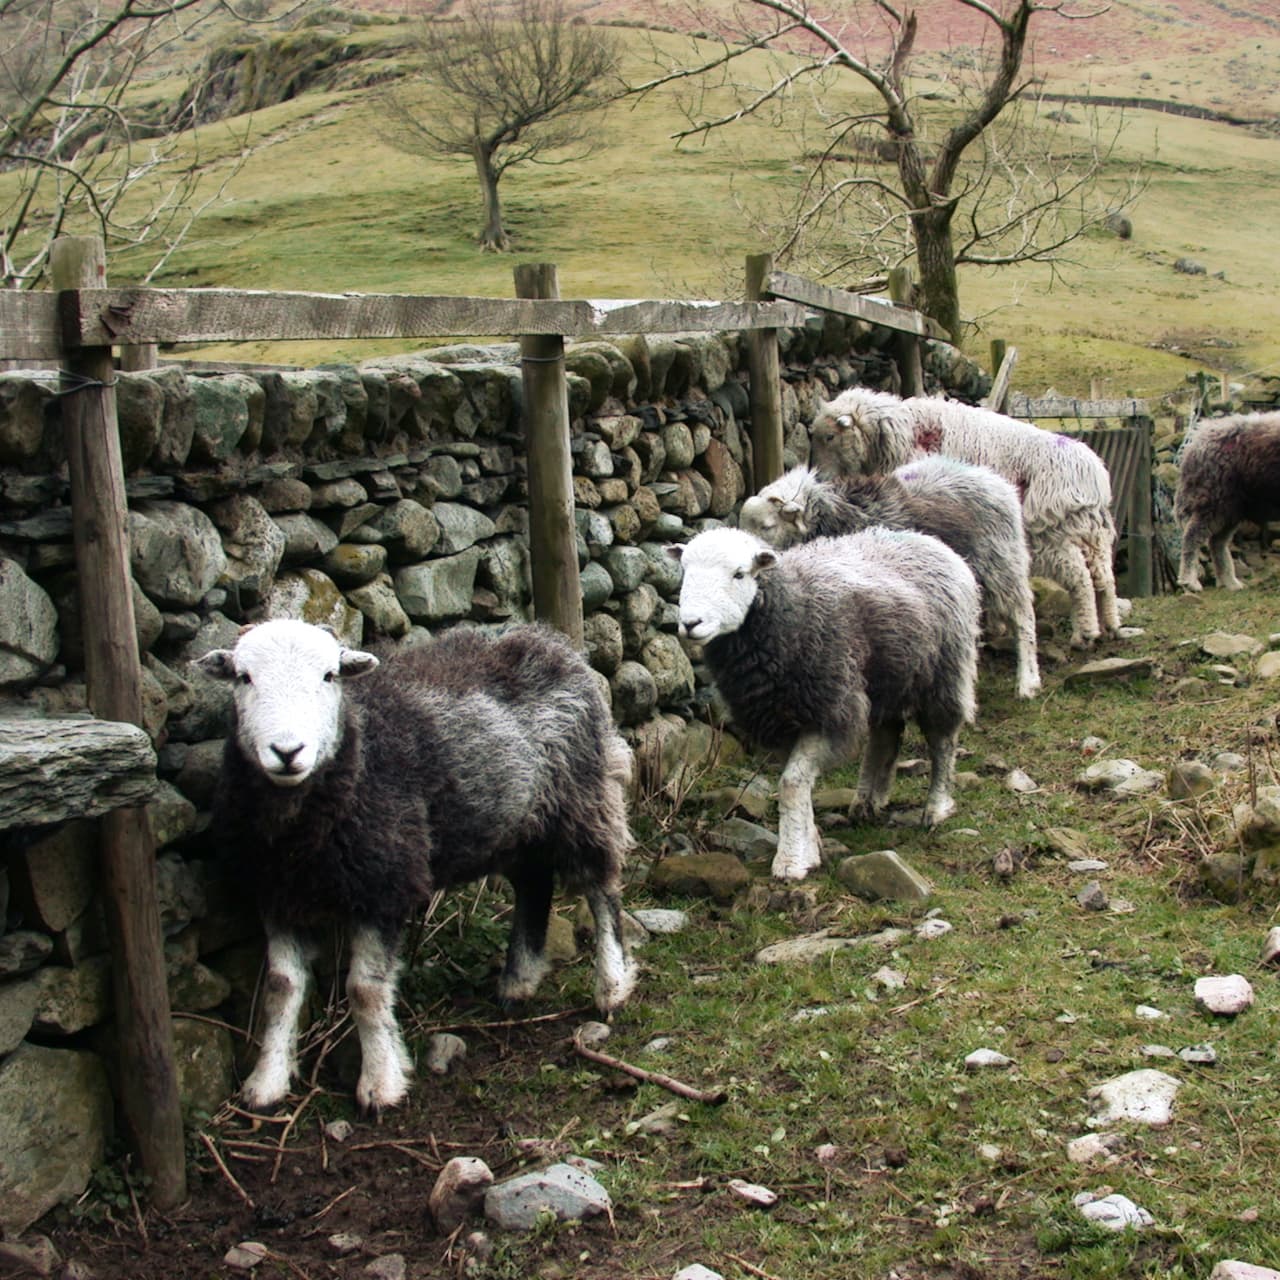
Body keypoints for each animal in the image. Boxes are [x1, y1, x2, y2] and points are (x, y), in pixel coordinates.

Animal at [197, 616, 637, 1111]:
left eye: (329, 676)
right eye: (243, 677)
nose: (288, 751)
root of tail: (545, 638)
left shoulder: (386, 883)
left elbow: (365, 990)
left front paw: (380, 1083)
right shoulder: (275, 893)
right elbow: (280, 988)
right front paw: (267, 1081)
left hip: (583, 796)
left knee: (601, 889)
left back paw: (611, 986)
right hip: (518, 820)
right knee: (534, 885)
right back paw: (518, 981)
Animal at [670, 522, 977, 880]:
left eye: (739, 574)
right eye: (684, 570)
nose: (690, 623)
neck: (793, 611)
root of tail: (925, 539)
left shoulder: (830, 709)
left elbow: (791, 783)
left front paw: (791, 860)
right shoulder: (780, 717)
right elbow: (795, 782)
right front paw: (809, 843)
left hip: (945, 671)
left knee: (942, 739)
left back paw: (936, 807)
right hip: (885, 677)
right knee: (886, 735)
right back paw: (867, 801)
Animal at [808, 384, 1121, 650]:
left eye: (830, 436)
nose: (819, 477)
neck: (898, 433)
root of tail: (1094, 475)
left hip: (1051, 533)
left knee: (1080, 576)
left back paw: (1084, 635)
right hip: (1091, 532)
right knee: (1103, 575)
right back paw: (1110, 626)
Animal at [1172, 409, 1280, 588]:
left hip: (1232, 508)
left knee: (1217, 543)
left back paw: (1230, 583)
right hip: (1215, 500)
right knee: (1193, 535)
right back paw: (1190, 581)